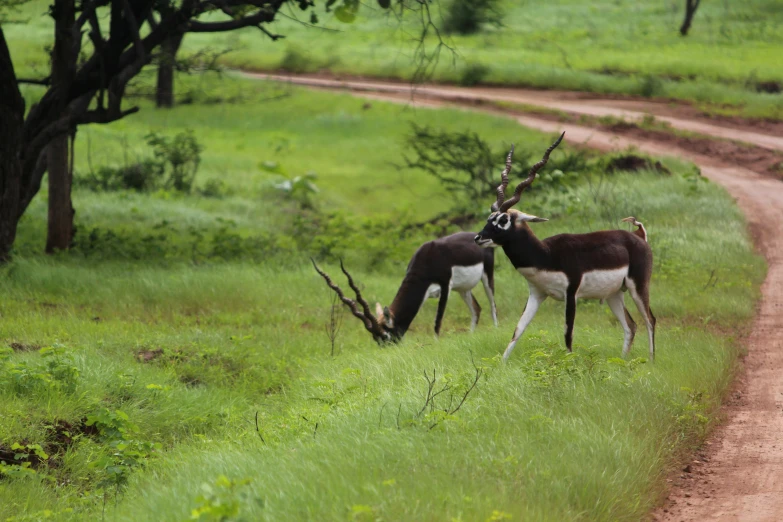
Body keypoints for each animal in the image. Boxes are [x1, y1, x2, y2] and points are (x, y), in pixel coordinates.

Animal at [310, 232, 496, 342]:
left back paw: (496, 330)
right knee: (476, 309)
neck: (428, 259)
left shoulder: (445, 287)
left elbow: (437, 322)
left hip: (487, 277)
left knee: (492, 306)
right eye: (375, 338)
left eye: (386, 336)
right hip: (463, 289)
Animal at [474, 134, 660, 360]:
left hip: (638, 286)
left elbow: (567, 334)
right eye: (489, 217)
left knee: (650, 320)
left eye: (503, 220)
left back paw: (651, 361)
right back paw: (623, 361)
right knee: (631, 326)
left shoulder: (571, 294)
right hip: (614, 294)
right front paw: (502, 364)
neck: (546, 255)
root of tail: (639, 236)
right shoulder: (536, 294)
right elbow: (517, 331)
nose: (478, 237)